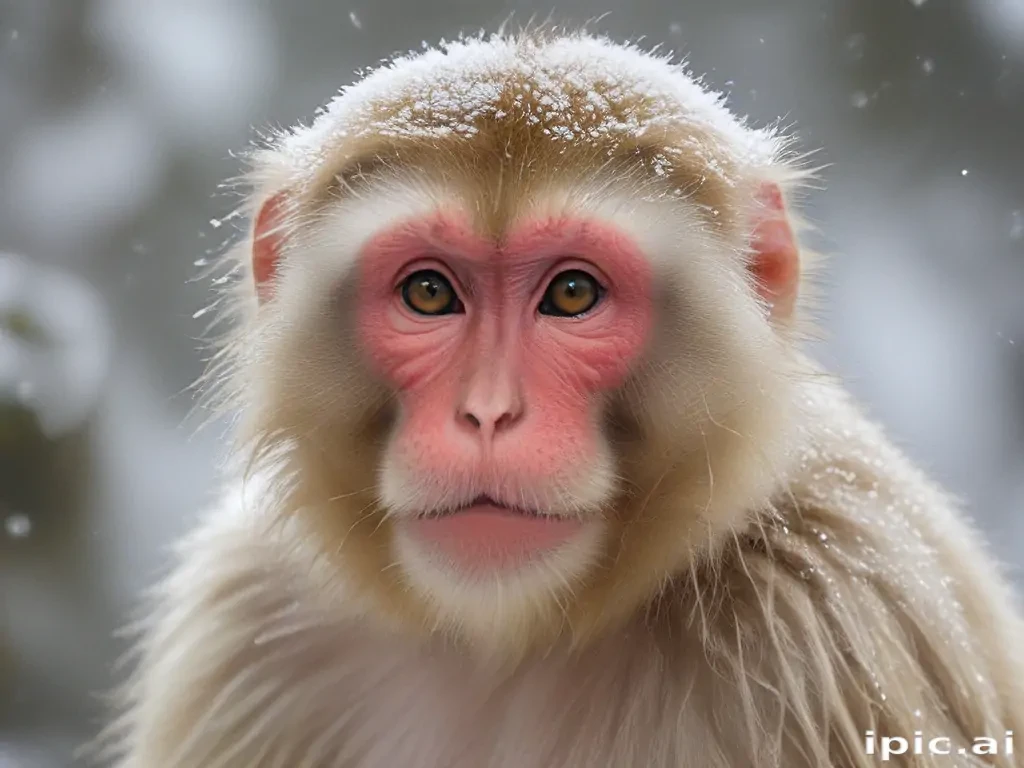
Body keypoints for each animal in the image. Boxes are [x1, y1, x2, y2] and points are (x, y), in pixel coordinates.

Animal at [94, 30, 1024, 768]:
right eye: (429, 293)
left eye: (572, 294)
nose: (488, 412)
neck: (513, 641)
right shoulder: (240, 631)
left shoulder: (844, 614)